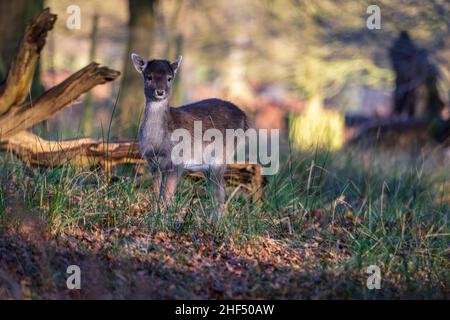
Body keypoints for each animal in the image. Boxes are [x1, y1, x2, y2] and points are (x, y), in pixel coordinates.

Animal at [130, 53, 250, 218]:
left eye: (169, 78)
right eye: (149, 77)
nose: (160, 91)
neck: (159, 143)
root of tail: (244, 117)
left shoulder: (177, 162)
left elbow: (167, 195)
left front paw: (164, 219)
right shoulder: (152, 163)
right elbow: (155, 193)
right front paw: (153, 216)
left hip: (221, 157)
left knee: (220, 190)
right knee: (216, 191)